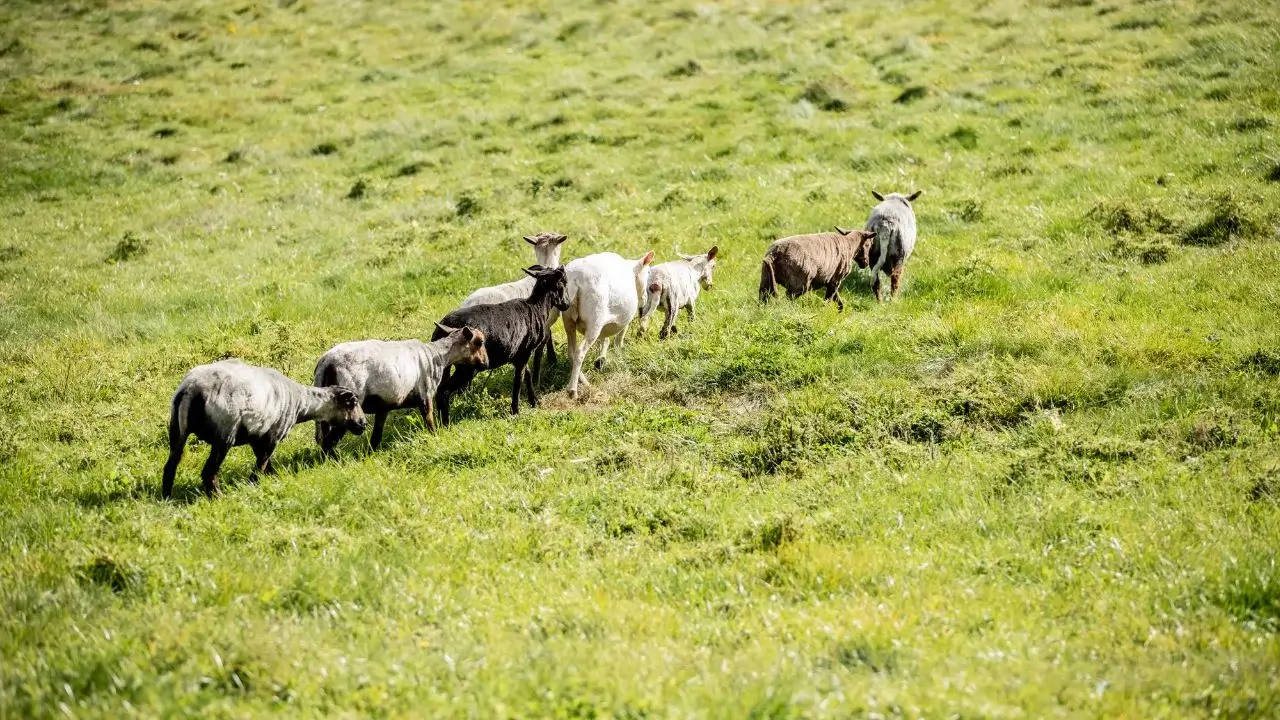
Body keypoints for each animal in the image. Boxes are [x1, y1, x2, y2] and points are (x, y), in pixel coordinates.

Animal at [161, 359, 366, 499]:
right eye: (352, 403)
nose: (363, 423)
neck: (301, 403)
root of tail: (191, 389)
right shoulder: (272, 435)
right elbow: (261, 465)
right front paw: (253, 487)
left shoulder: (256, 436)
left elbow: (266, 465)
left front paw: (275, 479)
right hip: (224, 433)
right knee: (209, 472)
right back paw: (218, 498)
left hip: (177, 428)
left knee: (170, 466)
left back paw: (167, 498)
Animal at [312, 325, 490, 455]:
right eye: (480, 342)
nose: (486, 364)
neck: (439, 356)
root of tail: (326, 362)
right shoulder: (425, 394)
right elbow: (430, 422)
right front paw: (436, 440)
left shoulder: (384, 404)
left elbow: (376, 436)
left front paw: (370, 455)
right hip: (348, 406)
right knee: (328, 442)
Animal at [432, 265, 570, 424]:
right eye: (564, 282)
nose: (567, 304)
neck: (537, 306)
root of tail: (444, 327)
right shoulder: (525, 352)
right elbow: (518, 380)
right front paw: (515, 411)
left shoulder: (520, 353)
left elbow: (527, 374)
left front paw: (533, 402)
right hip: (467, 367)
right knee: (444, 391)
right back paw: (445, 423)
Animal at [560, 250, 655, 398]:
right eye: (648, 273)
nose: (644, 299)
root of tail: (575, 280)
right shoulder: (625, 319)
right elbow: (618, 341)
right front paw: (620, 359)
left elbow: (604, 340)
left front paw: (600, 360)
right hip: (595, 317)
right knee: (580, 351)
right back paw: (573, 391)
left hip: (568, 317)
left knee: (571, 351)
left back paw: (584, 382)